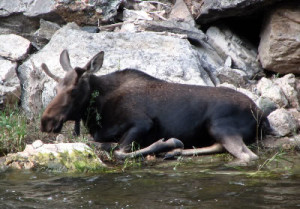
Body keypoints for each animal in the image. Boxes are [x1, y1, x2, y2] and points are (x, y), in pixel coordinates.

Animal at [40, 49, 270, 162]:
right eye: (56, 87)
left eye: (73, 91)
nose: (46, 122)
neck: (97, 111)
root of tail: (261, 115)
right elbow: (101, 144)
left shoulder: (142, 123)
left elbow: (119, 152)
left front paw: (167, 143)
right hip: (215, 130)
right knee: (218, 146)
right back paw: (176, 153)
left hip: (220, 126)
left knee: (248, 156)